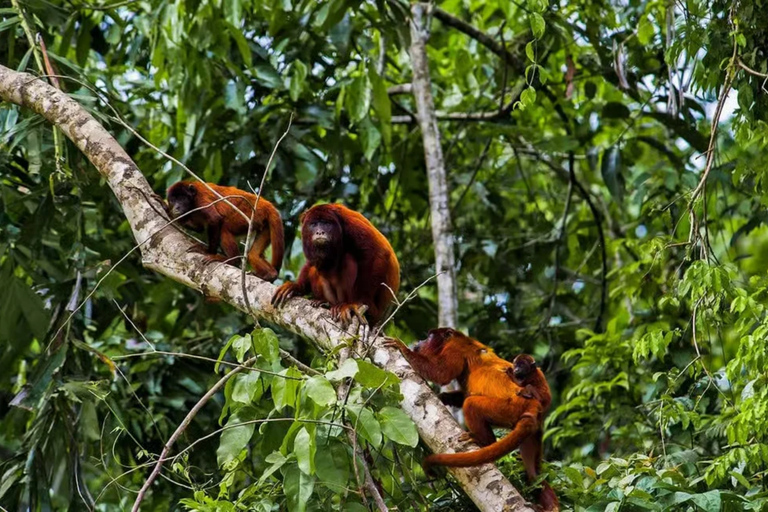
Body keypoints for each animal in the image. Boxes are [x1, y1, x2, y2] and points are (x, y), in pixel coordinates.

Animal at [271, 203, 399, 327]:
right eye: (313, 224)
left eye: (326, 223)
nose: (319, 232)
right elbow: (311, 263)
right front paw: (296, 286)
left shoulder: (350, 224)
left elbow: (379, 252)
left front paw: (358, 302)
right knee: (315, 267)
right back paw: (323, 302)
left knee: (348, 257)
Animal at [384, 328, 558, 512]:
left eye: (429, 336)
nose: (419, 341)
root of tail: (532, 403)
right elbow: (463, 392)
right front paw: (443, 397)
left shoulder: (454, 349)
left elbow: (442, 374)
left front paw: (402, 347)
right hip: (533, 431)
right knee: (534, 474)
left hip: (509, 407)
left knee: (471, 404)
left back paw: (483, 440)